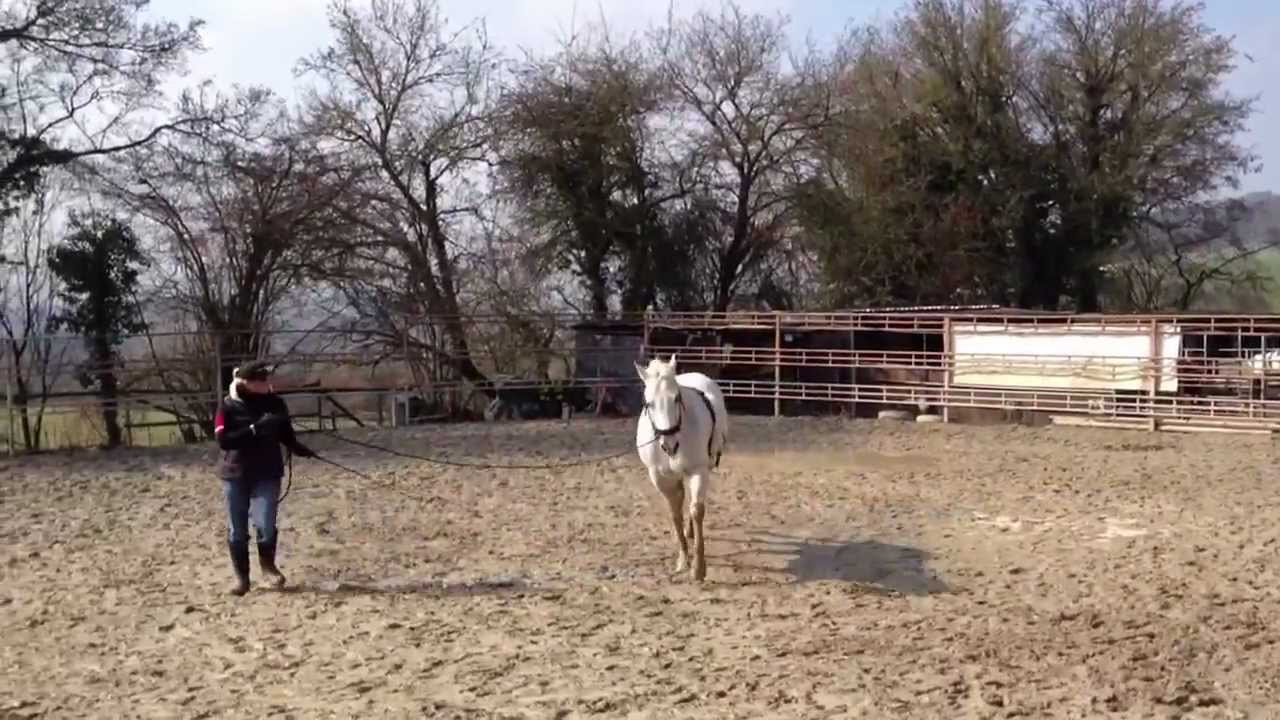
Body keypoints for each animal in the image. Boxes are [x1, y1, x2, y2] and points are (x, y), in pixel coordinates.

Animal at [634, 354, 729, 581]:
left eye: (676, 398)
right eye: (648, 403)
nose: (670, 444)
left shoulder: (698, 470)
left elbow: (696, 510)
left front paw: (698, 568)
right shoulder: (660, 478)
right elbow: (675, 513)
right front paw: (682, 558)